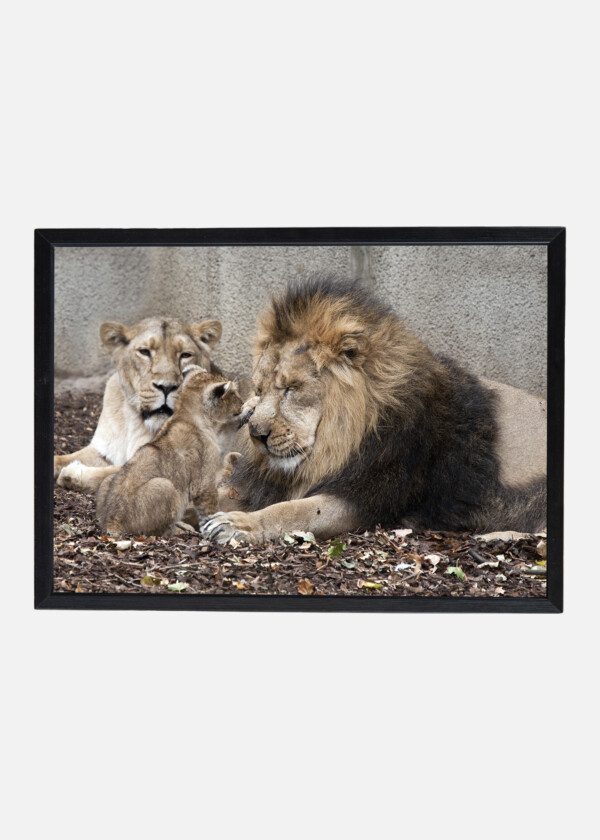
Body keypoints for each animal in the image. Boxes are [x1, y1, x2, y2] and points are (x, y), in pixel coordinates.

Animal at [54, 316, 223, 493]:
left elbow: (117, 472)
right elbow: (59, 459)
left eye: (185, 355)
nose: (167, 387)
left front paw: (74, 473)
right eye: (145, 352)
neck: (134, 420)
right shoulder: (102, 450)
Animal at [96, 366, 243, 536]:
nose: (242, 402)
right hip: (165, 486)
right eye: (234, 394)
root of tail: (112, 522)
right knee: (162, 531)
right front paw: (216, 527)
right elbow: (209, 510)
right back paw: (183, 529)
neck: (185, 414)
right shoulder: (204, 481)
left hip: (108, 480)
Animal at [200, 276, 547, 544]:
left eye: (291, 389)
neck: (336, 444)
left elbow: (295, 510)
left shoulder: (368, 496)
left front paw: (237, 524)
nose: (257, 435)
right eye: (258, 390)